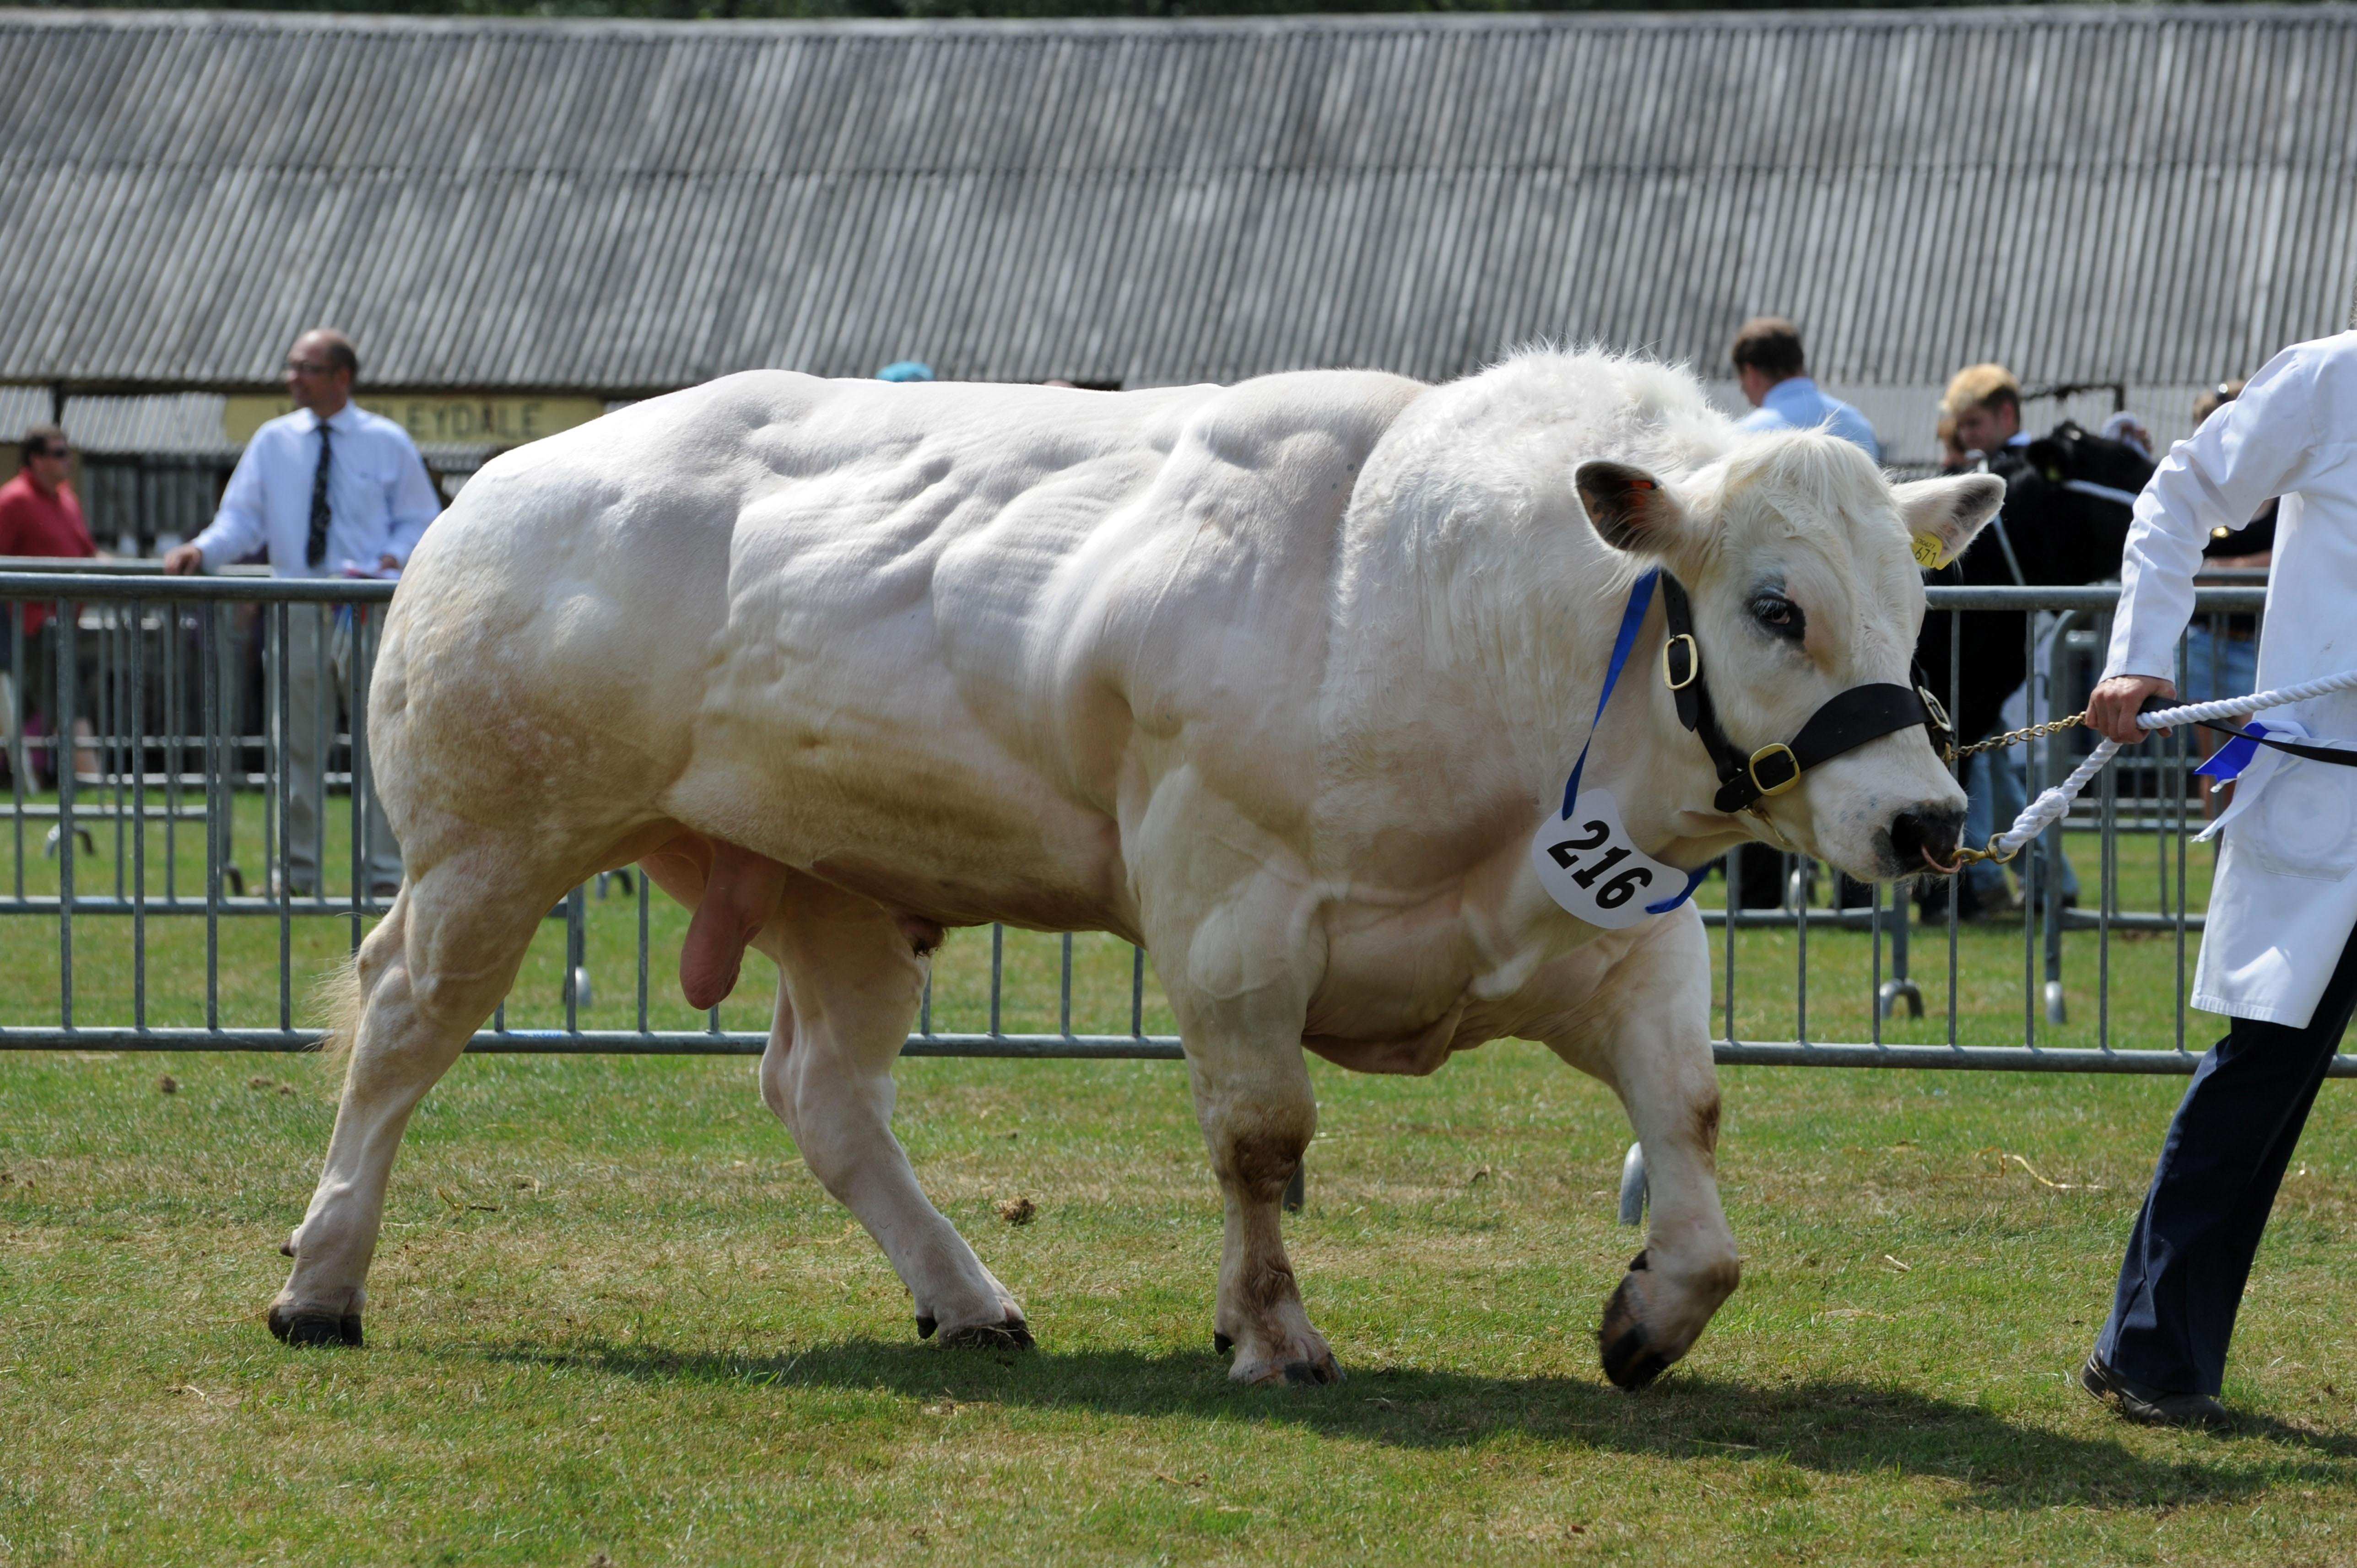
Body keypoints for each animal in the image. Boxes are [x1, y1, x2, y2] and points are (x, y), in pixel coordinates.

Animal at [280, 351, 2008, 1386]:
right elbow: (1259, 1137)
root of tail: (501, 489)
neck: (1440, 608)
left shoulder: (1626, 937)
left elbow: (1694, 1141)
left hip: (837, 889)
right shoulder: (1228, 911)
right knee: (399, 1033)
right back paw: (322, 1275)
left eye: (1918, 606)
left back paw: (966, 1293)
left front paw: (1649, 1313)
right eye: (1776, 605)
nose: (1928, 822)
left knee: (828, 1098)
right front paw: (1273, 1329)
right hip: (491, 846)